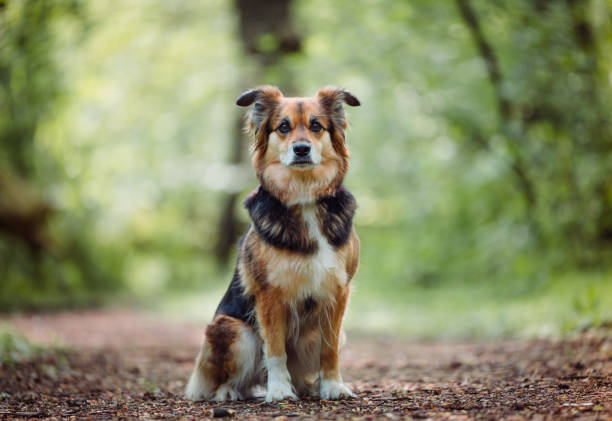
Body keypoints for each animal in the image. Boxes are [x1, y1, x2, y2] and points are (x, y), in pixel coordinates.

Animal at [184, 84, 360, 400]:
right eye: (283, 127)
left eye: (317, 126)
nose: (301, 149)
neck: (304, 199)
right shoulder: (269, 295)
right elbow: (276, 350)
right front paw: (278, 391)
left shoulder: (338, 292)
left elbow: (329, 351)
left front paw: (333, 386)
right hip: (232, 329)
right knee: (228, 377)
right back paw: (230, 392)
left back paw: (309, 387)